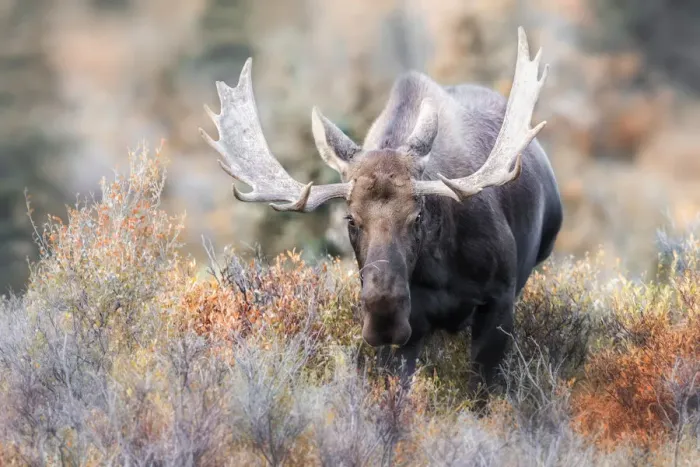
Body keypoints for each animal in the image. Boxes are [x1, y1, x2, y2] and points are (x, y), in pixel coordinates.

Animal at [199, 27, 563, 398]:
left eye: (417, 216)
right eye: (350, 218)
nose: (384, 314)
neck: (440, 271)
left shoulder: (499, 299)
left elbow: (482, 393)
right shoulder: (411, 329)